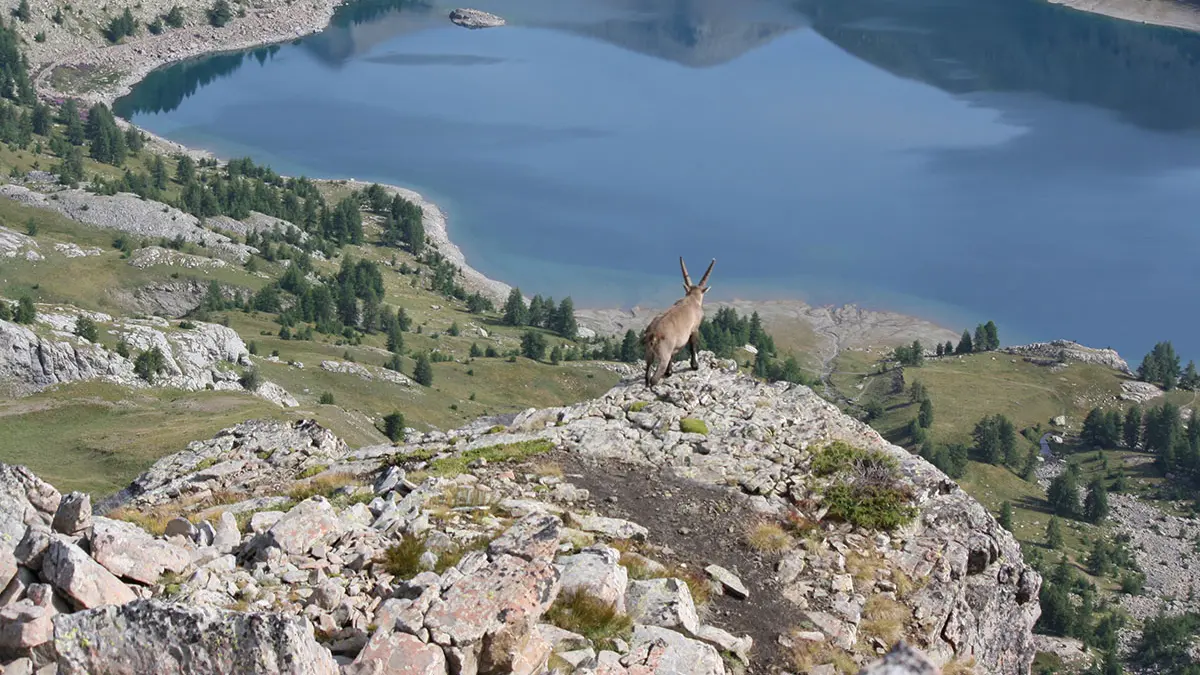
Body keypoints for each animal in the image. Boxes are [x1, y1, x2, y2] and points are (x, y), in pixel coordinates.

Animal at [648, 255, 710, 386]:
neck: (691, 299)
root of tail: (653, 334)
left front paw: (669, 372)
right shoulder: (694, 328)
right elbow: (693, 345)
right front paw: (695, 366)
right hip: (663, 352)